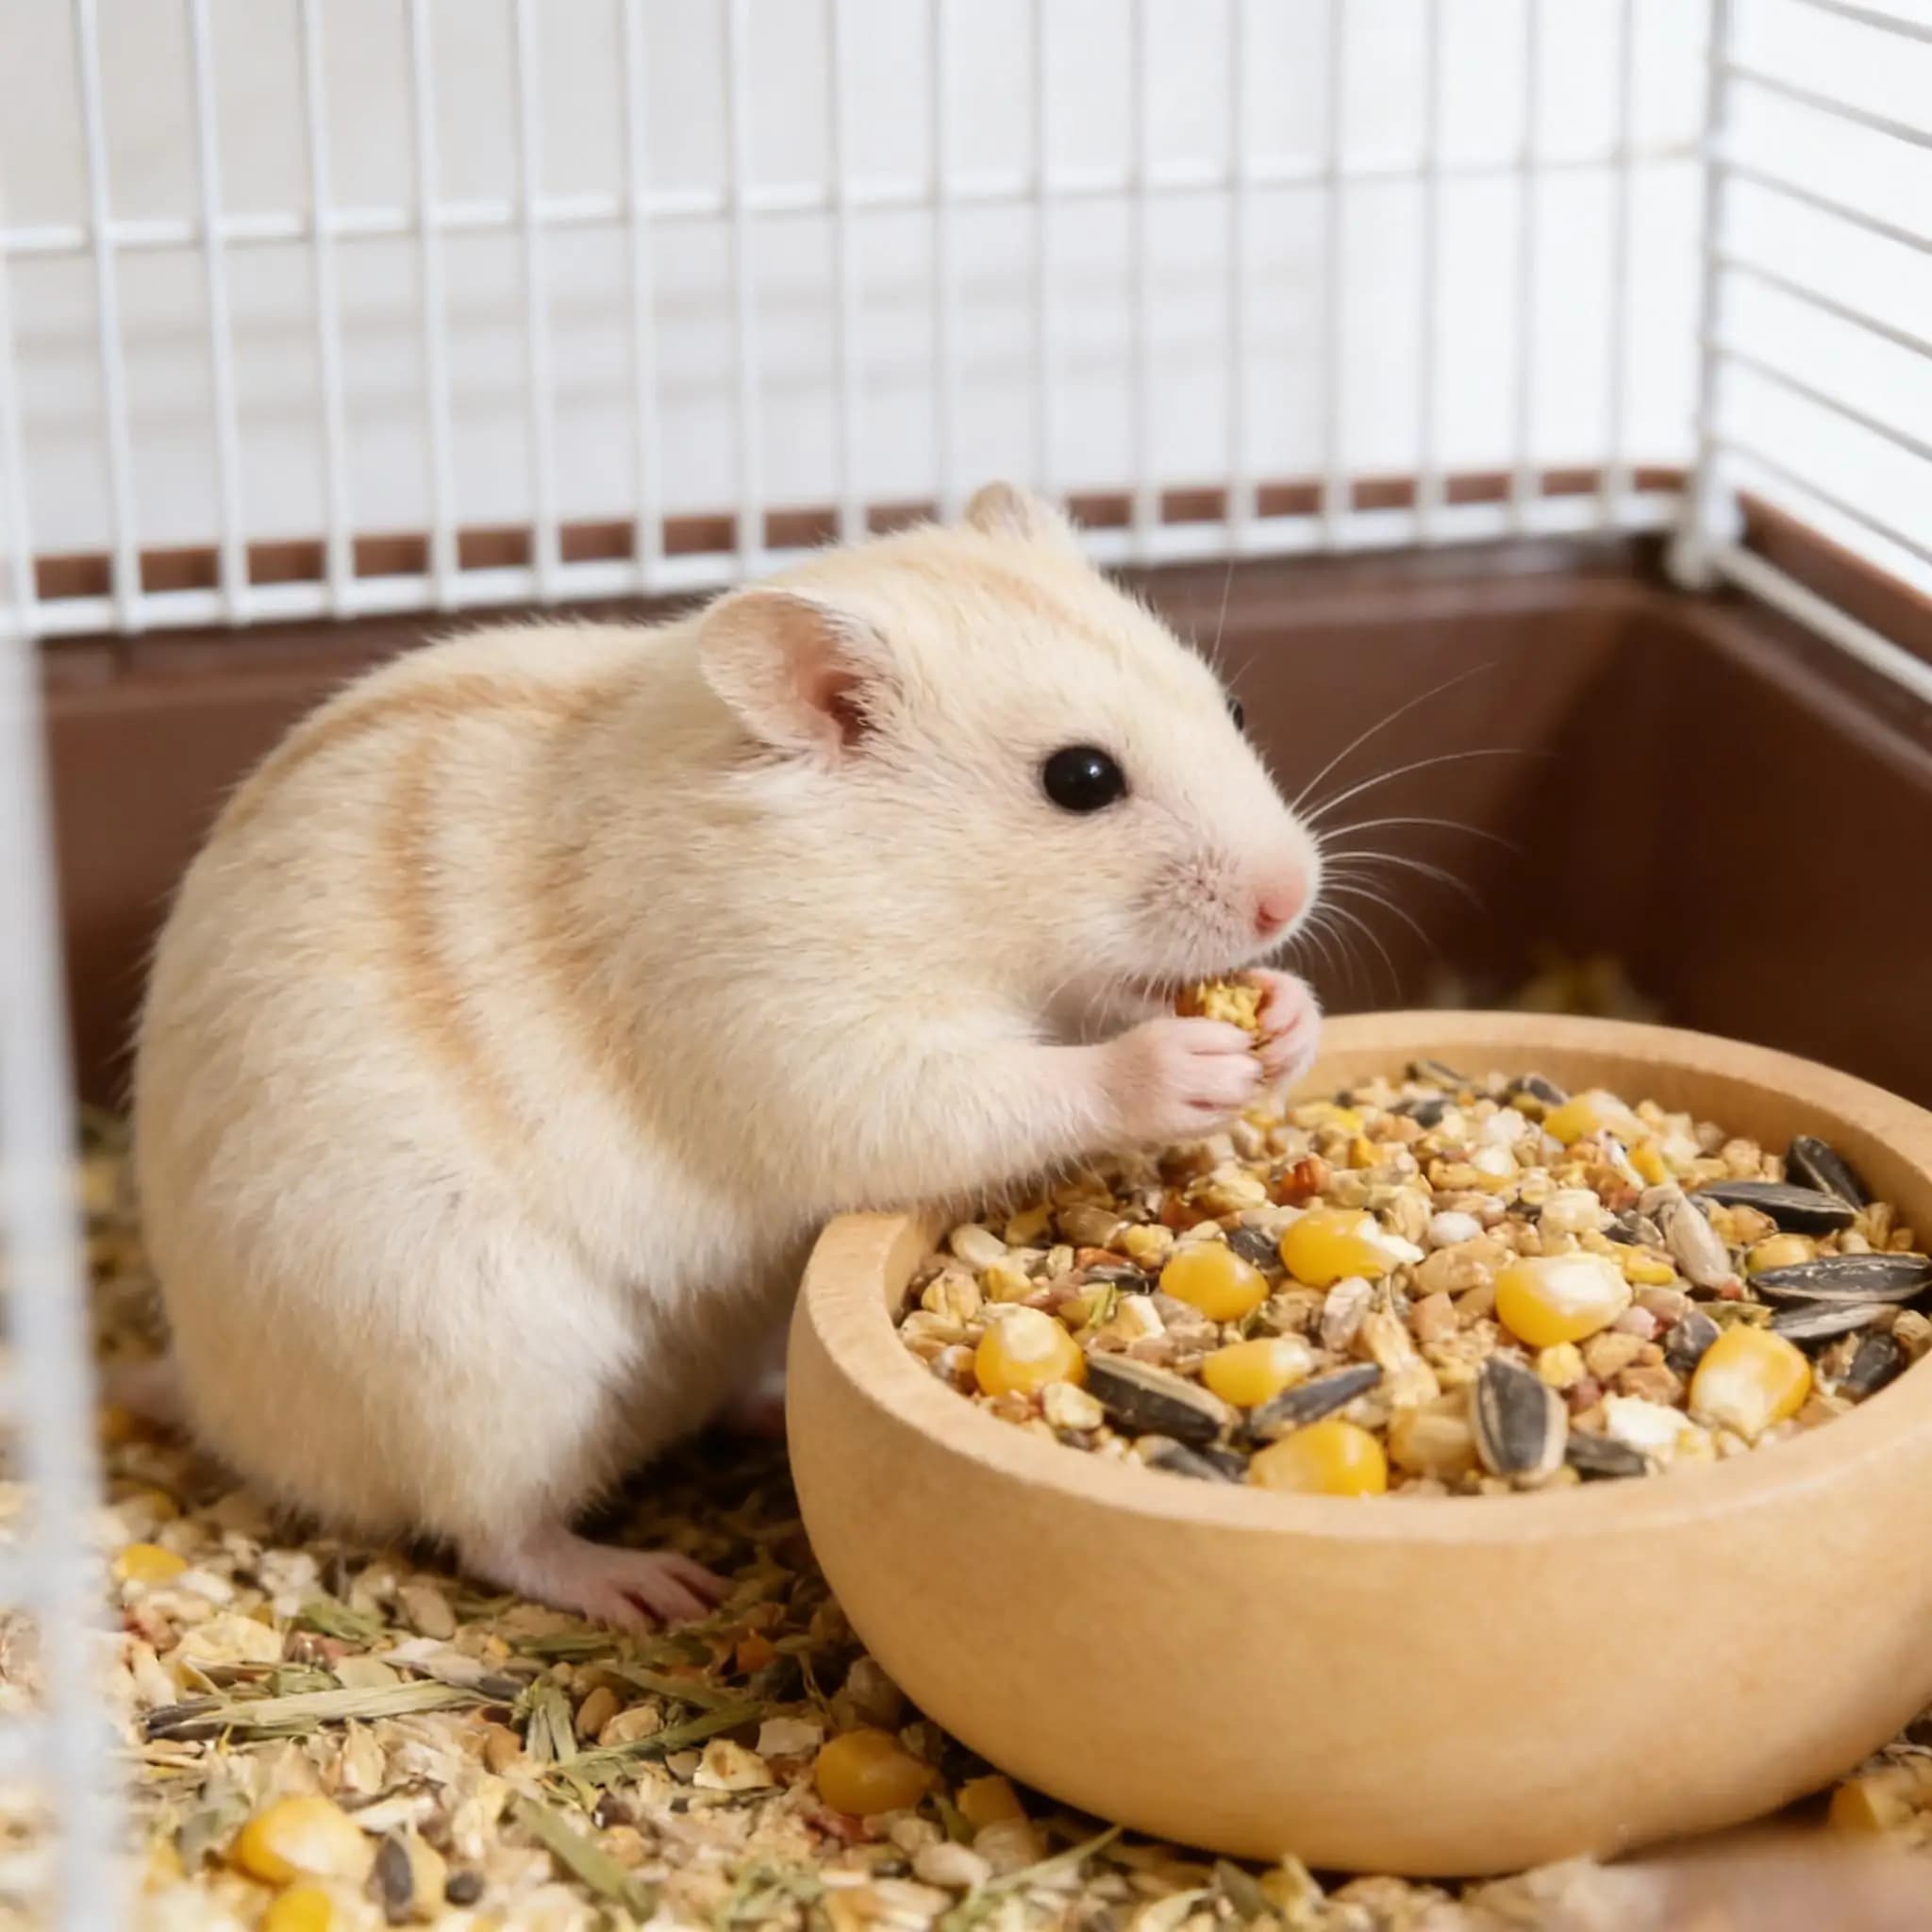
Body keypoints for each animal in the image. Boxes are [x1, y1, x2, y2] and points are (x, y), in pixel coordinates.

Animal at [130, 483, 1324, 1626]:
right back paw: (648, 1584)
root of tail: (201, 1392)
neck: (908, 883)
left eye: (1231, 705)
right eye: (1078, 778)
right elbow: (1014, 1086)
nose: (1291, 896)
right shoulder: (807, 1041)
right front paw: (1192, 1063)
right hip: (481, 1363)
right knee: (493, 1528)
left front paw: (1287, 1013)